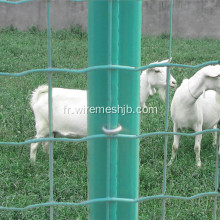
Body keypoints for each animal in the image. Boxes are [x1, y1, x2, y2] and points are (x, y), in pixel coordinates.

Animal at [29, 59, 177, 162]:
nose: (174, 83)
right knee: (34, 145)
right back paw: (34, 164)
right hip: (42, 126)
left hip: (51, 131)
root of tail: (38, 97)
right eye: (157, 71)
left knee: (46, 146)